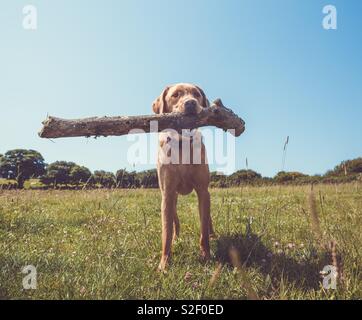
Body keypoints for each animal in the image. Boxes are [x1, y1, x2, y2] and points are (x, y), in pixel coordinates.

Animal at [151, 82, 214, 270]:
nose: (191, 103)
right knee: (174, 222)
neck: (182, 143)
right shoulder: (167, 193)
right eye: (176, 95)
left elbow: (203, 230)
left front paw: (206, 256)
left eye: (196, 94)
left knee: (208, 219)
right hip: (171, 199)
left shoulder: (203, 191)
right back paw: (176, 239)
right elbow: (166, 230)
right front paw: (164, 263)